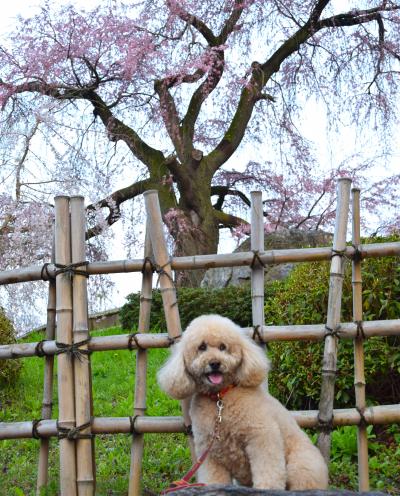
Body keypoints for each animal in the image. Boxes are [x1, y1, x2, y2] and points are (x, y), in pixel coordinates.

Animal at [158, 314, 330, 488]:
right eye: (202, 347)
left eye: (222, 347)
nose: (215, 363)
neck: (220, 399)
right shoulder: (210, 454)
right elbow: (214, 480)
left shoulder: (262, 438)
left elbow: (269, 474)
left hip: (301, 466)